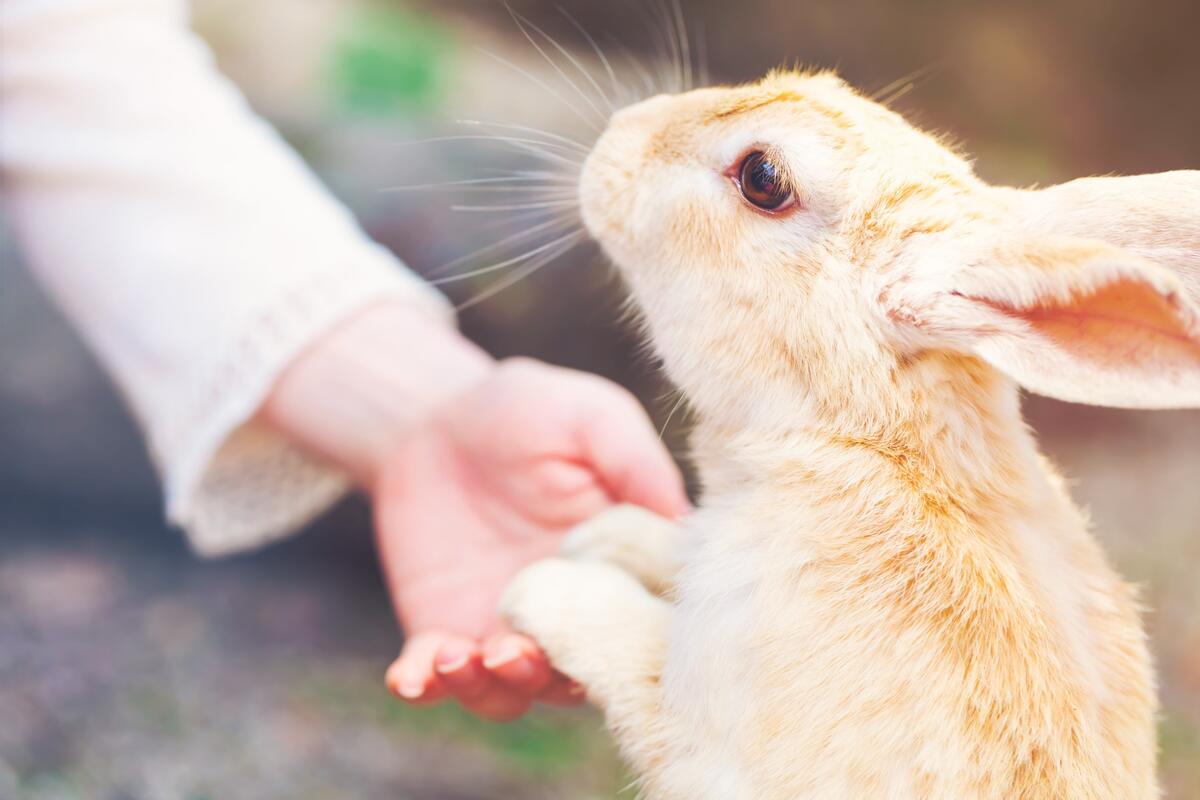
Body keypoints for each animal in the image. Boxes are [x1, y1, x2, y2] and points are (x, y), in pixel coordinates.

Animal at [499, 68, 1200, 800]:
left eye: (763, 178)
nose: (622, 133)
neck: (873, 449)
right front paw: (608, 537)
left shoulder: (701, 739)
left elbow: (630, 656)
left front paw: (548, 585)